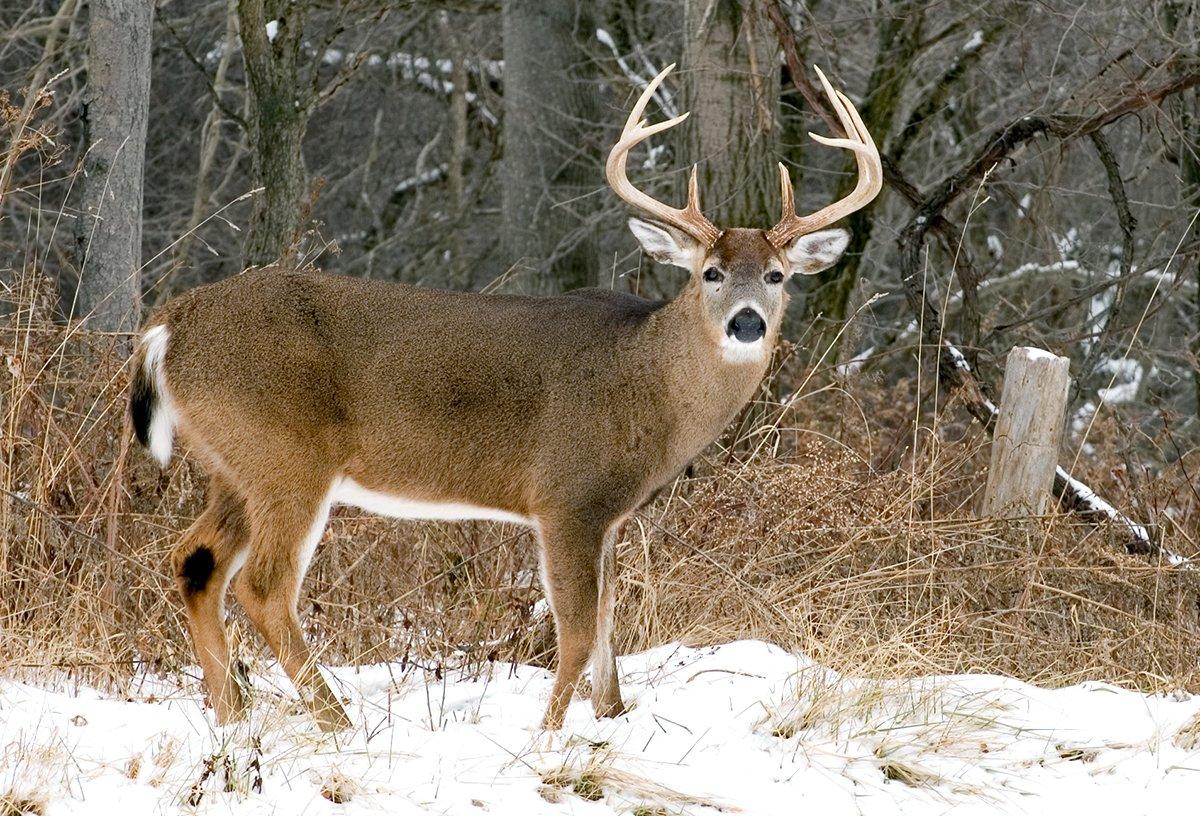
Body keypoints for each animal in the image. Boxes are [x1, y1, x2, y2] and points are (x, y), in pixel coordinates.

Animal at [131, 62, 883, 724]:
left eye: (779, 275)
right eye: (712, 272)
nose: (747, 322)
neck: (647, 381)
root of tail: (168, 326)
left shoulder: (609, 515)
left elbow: (608, 631)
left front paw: (607, 720)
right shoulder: (567, 496)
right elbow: (577, 633)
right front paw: (547, 737)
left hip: (232, 465)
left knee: (194, 561)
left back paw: (234, 718)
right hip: (286, 459)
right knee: (262, 586)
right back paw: (335, 722)